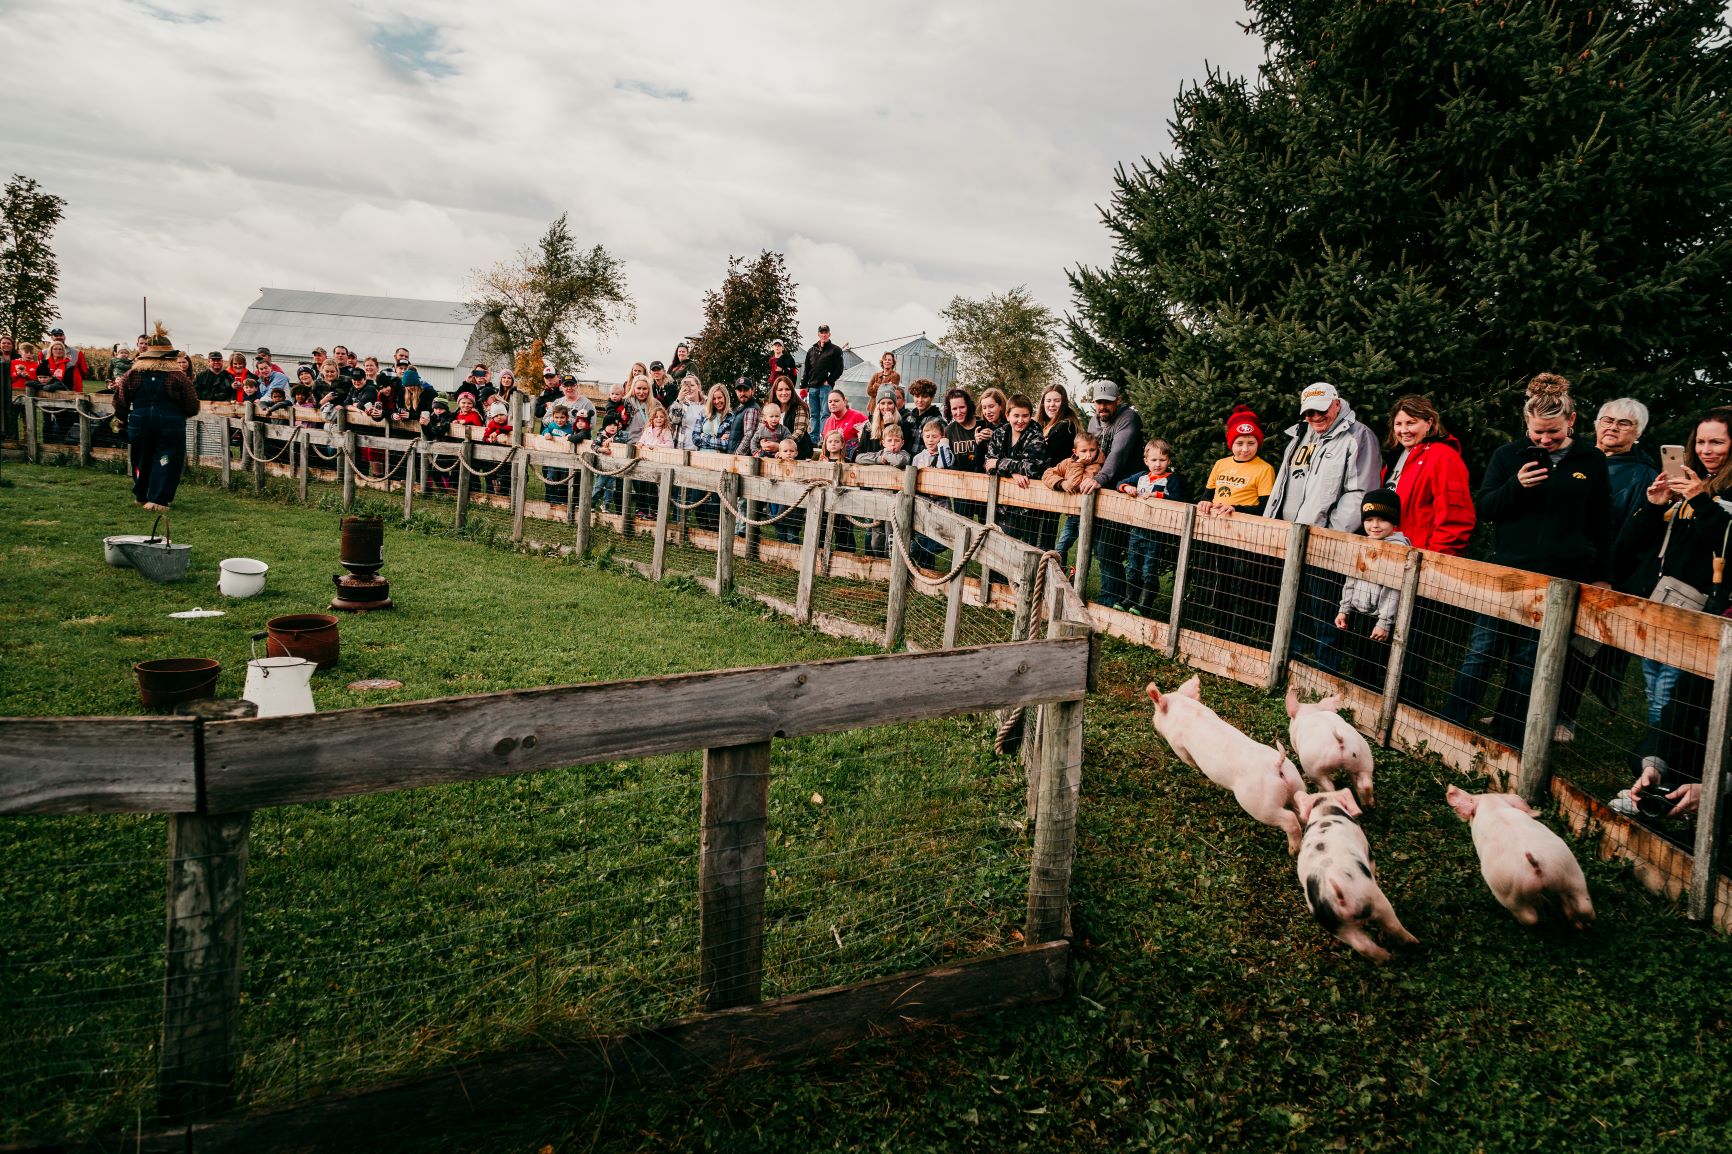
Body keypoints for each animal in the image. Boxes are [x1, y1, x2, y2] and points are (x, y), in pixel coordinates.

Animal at [1143, 675, 1302, 852]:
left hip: (1261, 803)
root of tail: (1277, 766)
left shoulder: (1177, 744)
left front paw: (1196, 768)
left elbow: (1188, 760)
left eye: (1156, 711)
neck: (1186, 710)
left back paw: (1293, 851)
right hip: (1296, 783)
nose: (1153, 721)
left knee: (1289, 819)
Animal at [1295, 783, 1413, 963]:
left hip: (1336, 925)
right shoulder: (1367, 850)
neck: (1323, 808)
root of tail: (1334, 889)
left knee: (1362, 946)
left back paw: (1386, 959)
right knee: (1392, 925)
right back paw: (1413, 944)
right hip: (1373, 899)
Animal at [1441, 783, 1586, 928]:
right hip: (1572, 872)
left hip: (1507, 893)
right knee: (1582, 906)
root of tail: (1536, 866)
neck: (1493, 808)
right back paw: (1577, 923)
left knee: (1530, 917)